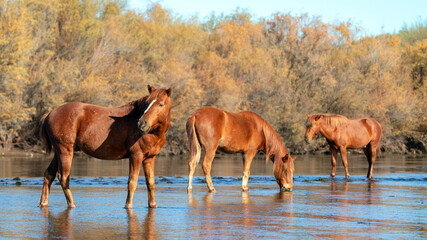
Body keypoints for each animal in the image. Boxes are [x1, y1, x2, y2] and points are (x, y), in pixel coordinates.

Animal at [38, 85, 172, 208]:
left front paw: (153, 205)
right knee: (63, 178)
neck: (152, 132)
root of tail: (50, 113)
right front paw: (128, 205)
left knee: (49, 175)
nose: (142, 123)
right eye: (147, 103)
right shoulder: (136, 156)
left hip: (58, 153)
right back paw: (72, 204)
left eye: (160, 104)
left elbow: (151, 183)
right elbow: (132, 182)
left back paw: (43, 203)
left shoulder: (150, 158)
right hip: (65, 152)